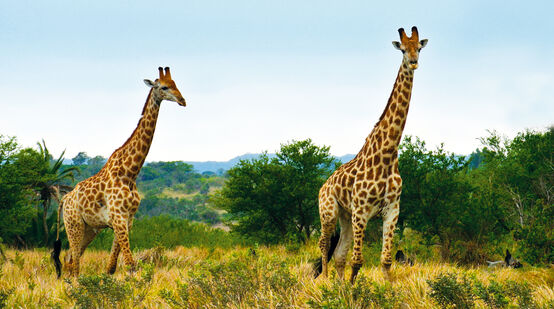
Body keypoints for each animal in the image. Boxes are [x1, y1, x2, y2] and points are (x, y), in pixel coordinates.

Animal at [54, 67, 188, 276]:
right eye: (164, 87)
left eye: (176, 84)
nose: (183, 100)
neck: (130, 172)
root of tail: (64, 200)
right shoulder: (118, 218)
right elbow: (131, 265)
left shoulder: (127, 220)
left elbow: (111, 267)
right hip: (73, 224)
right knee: (73, 261)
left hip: (89, 228)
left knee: (70, 258)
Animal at [314, 26, 426, 282]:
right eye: (403, 49)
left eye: (419, 47)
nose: (414, 62)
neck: (388, 153)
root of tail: (324, 185)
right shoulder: (362, 210)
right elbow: (358, 260)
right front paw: (353, 289)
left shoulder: (392, 210)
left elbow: (385, 260)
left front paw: (383, 288)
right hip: (329, 212)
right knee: (324, 244)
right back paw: (323, 281)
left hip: (345, 216)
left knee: (339, 254)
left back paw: (338, 285)